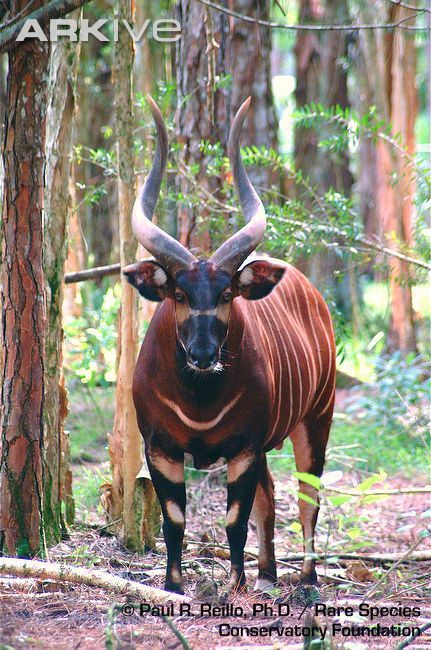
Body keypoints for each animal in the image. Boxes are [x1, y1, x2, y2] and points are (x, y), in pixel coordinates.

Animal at [125, 96, 338, 592]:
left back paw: (307, 580)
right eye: (179, 294)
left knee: (307, 497)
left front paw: (235, 586)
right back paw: (268, 574)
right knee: (272, 493)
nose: (203, 355)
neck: (200, 401)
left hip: (317, 418)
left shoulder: (244, 446)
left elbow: (235, 521)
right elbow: (175, 522)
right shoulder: (160, 447)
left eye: (226, 294)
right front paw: (174, 586)